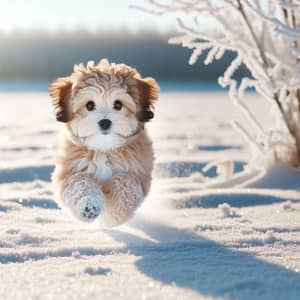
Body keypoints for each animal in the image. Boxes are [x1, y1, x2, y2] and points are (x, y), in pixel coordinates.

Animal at [49, 59, 157, 226]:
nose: (105, 122)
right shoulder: (70, 170)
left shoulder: (137, 172)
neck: (104, 148)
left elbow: (126, 185)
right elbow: (80, 183)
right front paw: (88, 206)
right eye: (90, 105)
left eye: (118, 104)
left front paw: (112, 217)